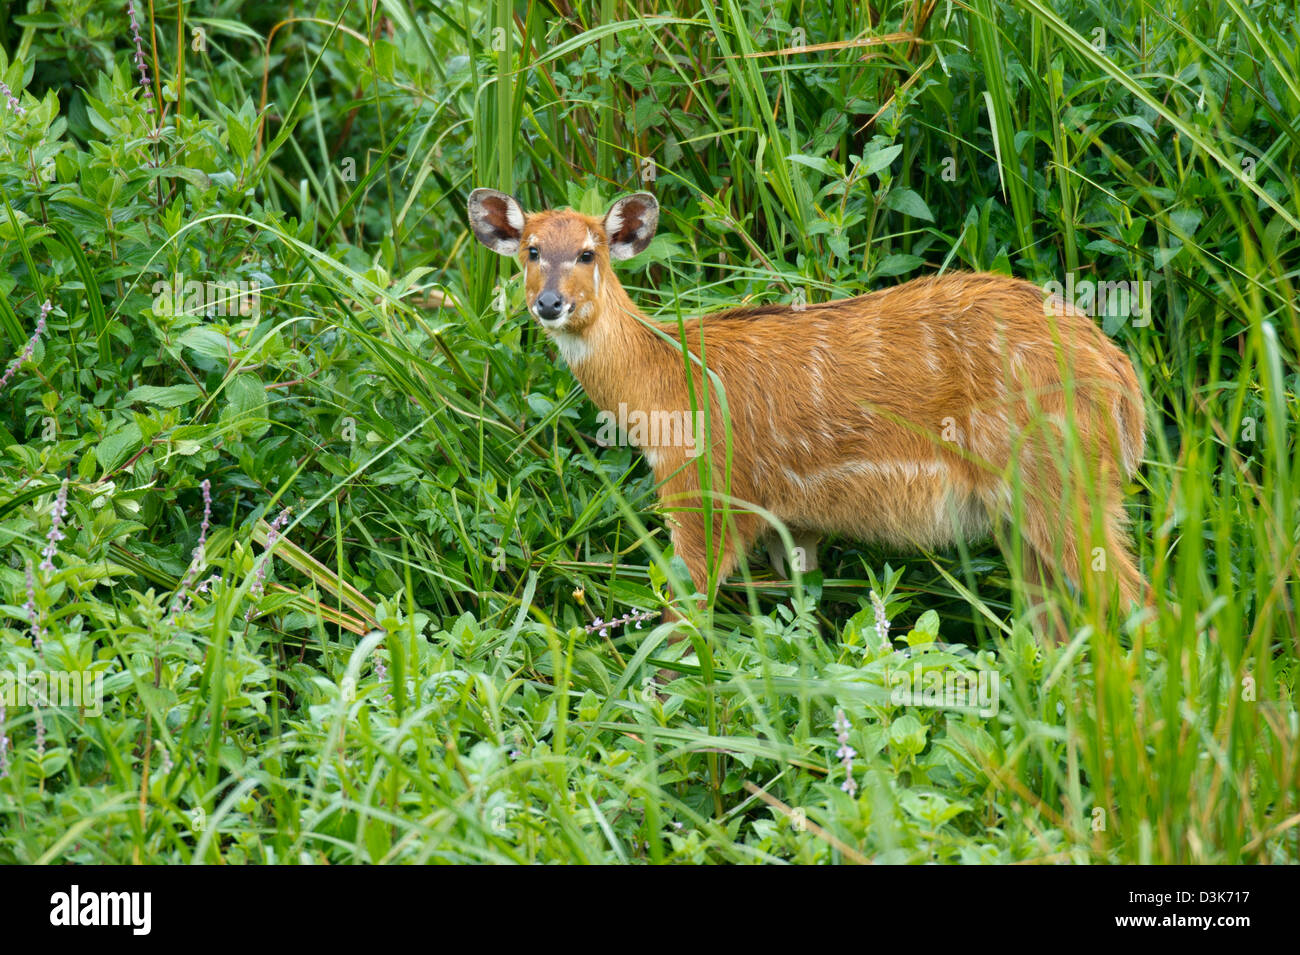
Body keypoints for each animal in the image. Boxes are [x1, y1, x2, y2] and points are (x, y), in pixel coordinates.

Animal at [470, 188, 1149, 634]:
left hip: (1059, 486)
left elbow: (680, 628)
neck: (662, 385)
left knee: (1138, 601)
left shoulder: (704, 495)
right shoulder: (792, 522)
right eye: (531, 249)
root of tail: (1123, 383)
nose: (550, 304)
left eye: (589, 252)